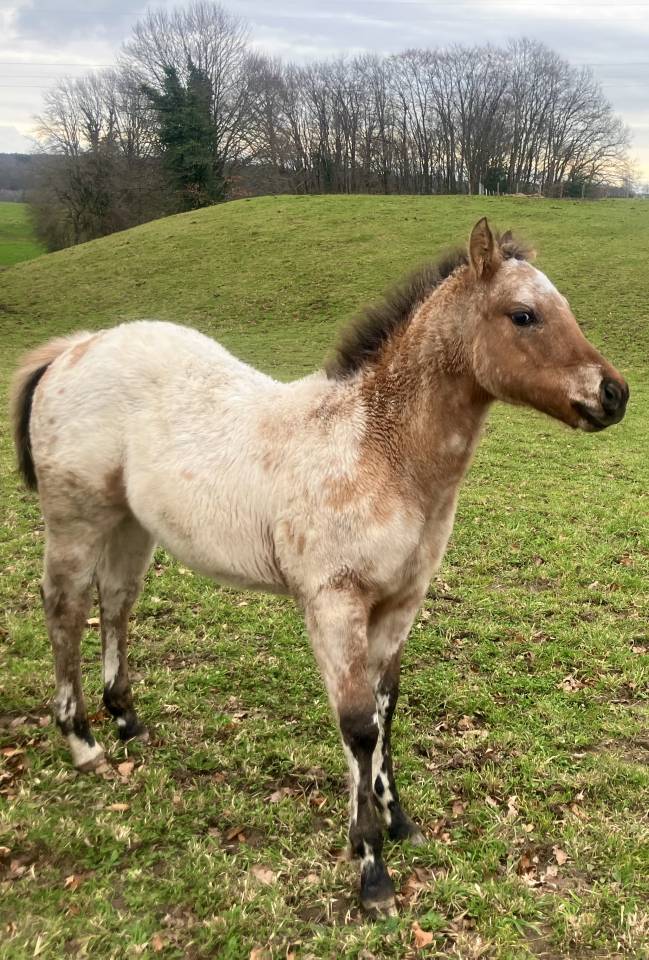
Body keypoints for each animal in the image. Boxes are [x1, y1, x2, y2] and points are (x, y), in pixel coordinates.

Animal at [10, 218, 628, 917]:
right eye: (523, 314)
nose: (614, 394)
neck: (377, 450)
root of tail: (75, 348)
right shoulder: (335, 602)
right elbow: (357, 725)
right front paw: (371, 870)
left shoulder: (401, 601)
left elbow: (386, 710)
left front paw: (400, 822)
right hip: (76, 517)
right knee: (66, 608)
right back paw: (81, 739)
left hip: (130, 523)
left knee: (116, 600)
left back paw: (126, 720)